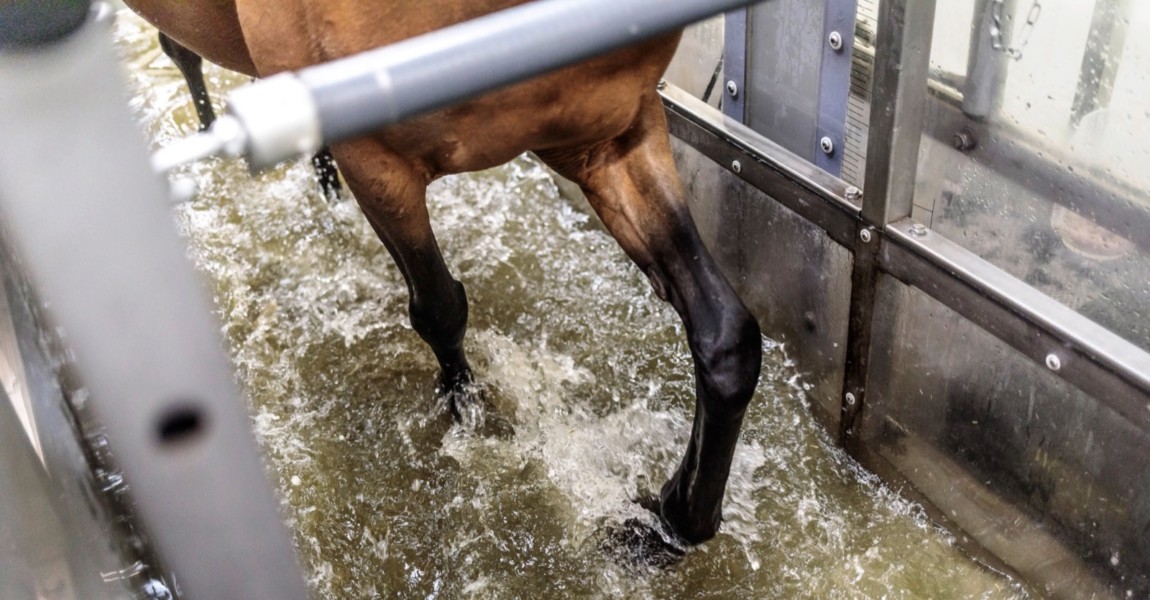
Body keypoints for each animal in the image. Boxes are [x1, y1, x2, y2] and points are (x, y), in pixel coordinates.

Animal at [125, 0, 763, 551]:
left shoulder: (612, 133)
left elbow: (728, 339)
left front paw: (664, 525)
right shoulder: (379, 166)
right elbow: (439, 307)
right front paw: (467, 414)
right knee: (180, 52)